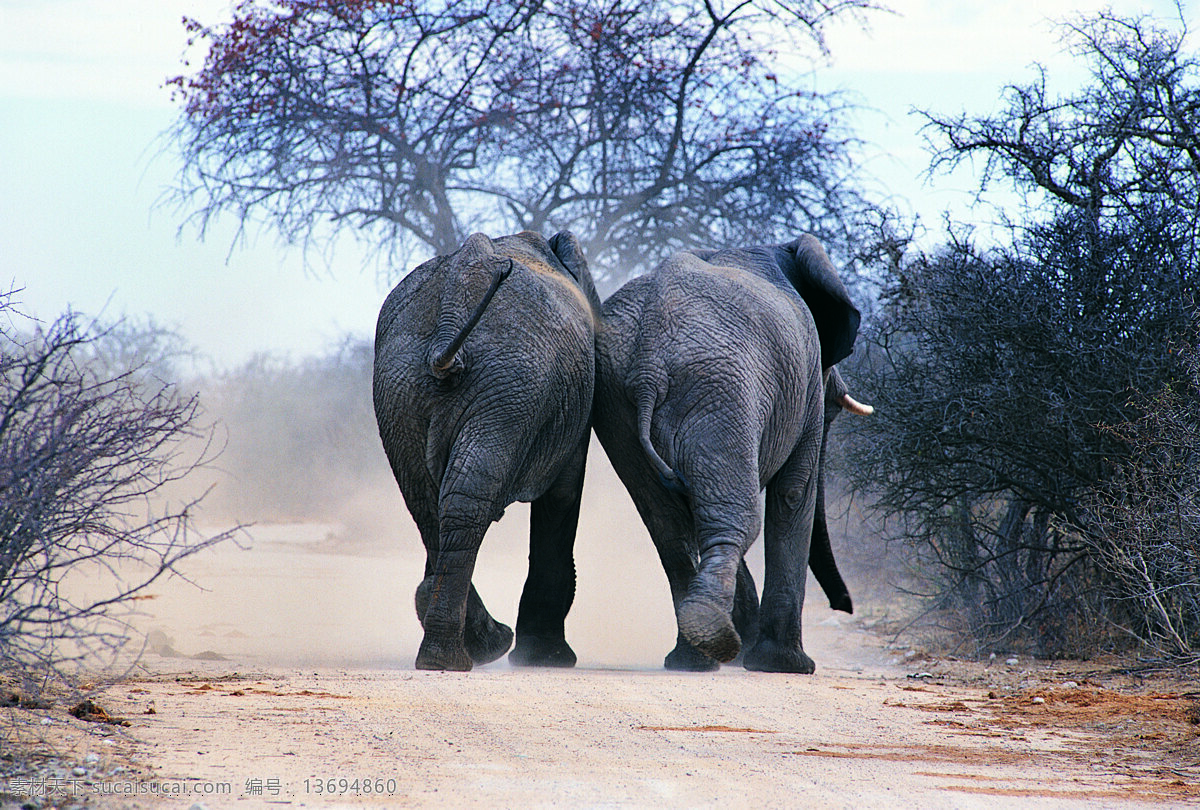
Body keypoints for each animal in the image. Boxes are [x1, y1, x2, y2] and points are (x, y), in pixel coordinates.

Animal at [373, 230, 600, 671]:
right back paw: (473, 651)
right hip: (511, 386)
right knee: (460, 504)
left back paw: (453, 652)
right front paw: (548, 659)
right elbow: (563, 494)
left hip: (407, 388)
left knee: (434, 505)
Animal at [593, 234, 864, 673]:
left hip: (618, 402)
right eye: (834, 408)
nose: (846, 606)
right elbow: (794, 494)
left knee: (668, 525)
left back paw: (694, 658)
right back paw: (713, 637)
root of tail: (649, 363)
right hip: (721, 390)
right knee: (738, 521)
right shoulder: (805, 385)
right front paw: (786, 666)